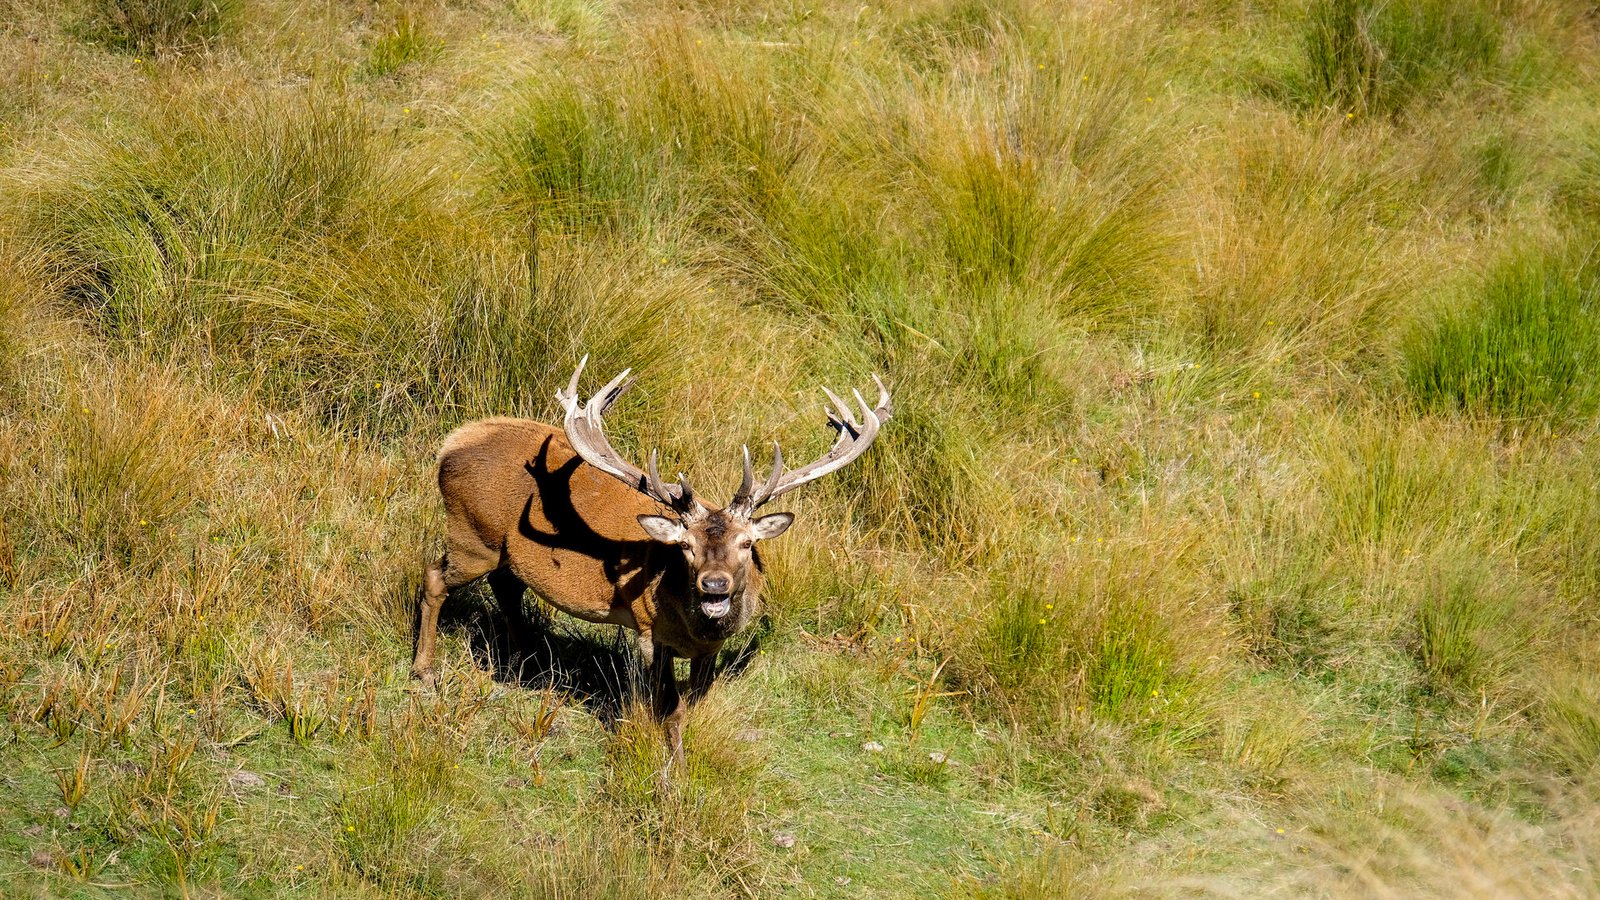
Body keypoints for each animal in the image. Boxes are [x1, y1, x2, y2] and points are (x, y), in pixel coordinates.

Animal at [412, 357, 891, 774]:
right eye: (686, 547)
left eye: (746, 543)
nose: (714, 586)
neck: (693, 630)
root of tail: (449, 445)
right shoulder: (647, 628)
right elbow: (668, 706)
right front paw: (673, 769)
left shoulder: (711, 649)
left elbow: (697, 698)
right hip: (473, 535)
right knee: (435, 577)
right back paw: (425, 672)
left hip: (500, 550)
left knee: (507, 588)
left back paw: (521, 662)